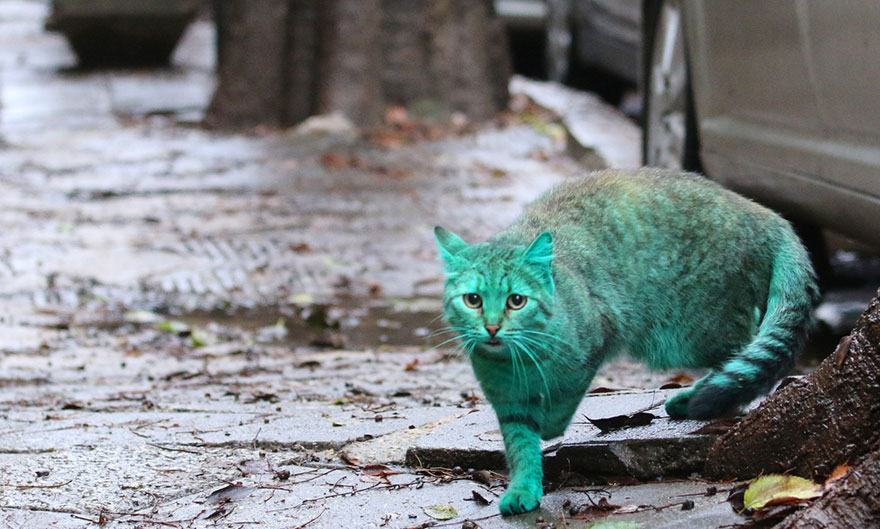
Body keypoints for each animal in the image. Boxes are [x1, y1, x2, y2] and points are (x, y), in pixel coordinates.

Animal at [434, 168, 820, 512]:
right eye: (473, 300)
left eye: (516, 300)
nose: (492, 327)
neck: (519, 359)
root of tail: (765, 214)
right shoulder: (509, 401)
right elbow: (520, 447)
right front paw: (523, 489)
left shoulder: (593, 345)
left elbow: (561, 402)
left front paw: (550, 425)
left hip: (695, 330)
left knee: (742, 355)